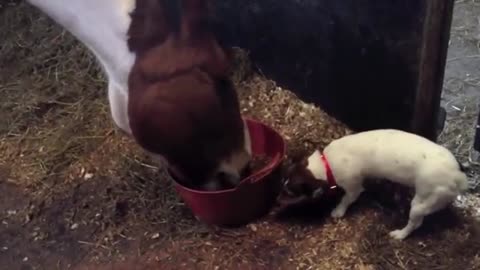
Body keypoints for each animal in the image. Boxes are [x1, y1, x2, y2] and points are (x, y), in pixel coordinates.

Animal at [284, 129, 468, 240]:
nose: (278, 202)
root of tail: (458, 175)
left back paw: (399, 235)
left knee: (415, 223)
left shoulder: (353, 187)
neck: (325, 164)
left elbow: (346, 200)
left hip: (421, 202)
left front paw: (338, 211)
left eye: (291, 193)